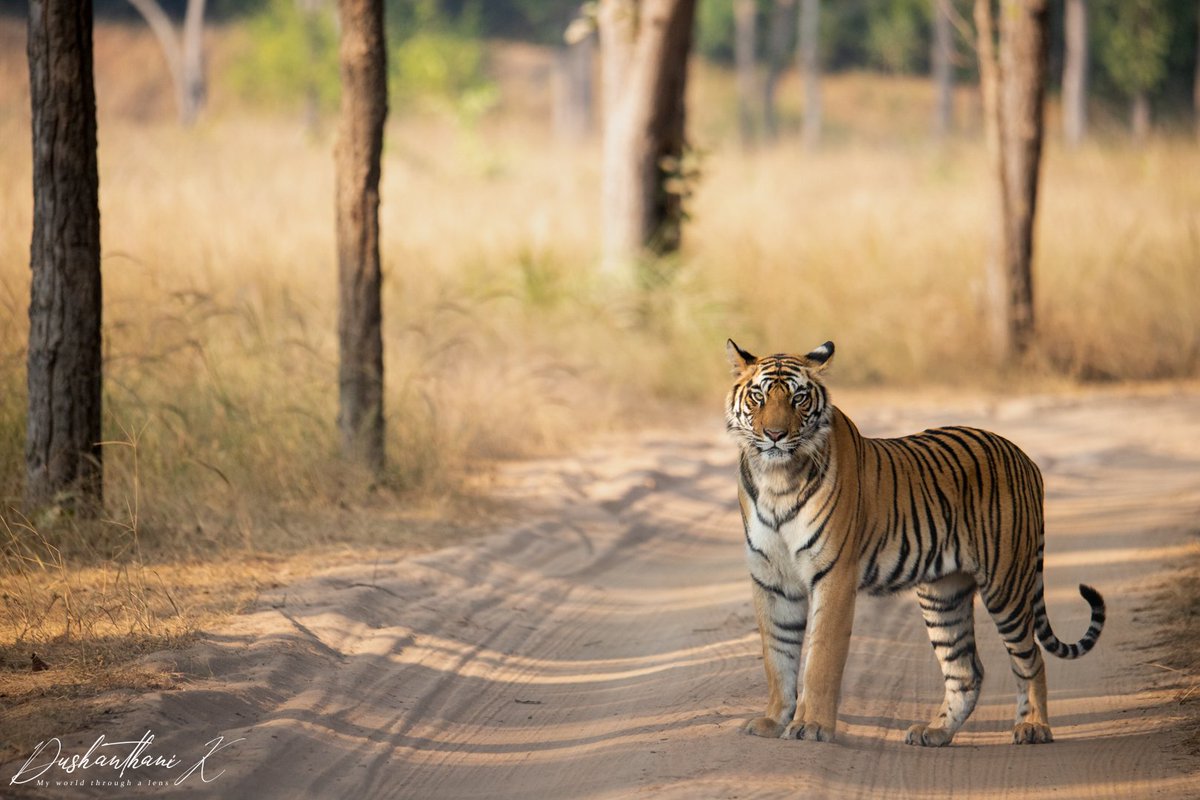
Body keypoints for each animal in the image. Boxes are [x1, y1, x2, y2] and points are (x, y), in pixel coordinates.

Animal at [724, 339, 1105, 746]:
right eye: (759, 397)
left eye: (798, 398)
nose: (775, 435)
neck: (776, 479)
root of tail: (1024, 457)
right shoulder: (772, 579)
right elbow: (777, 655)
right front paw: (773, 721)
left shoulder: (834, 575)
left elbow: (820, 658)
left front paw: (811, 726)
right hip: (944, 594)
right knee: (967, 670)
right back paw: (935, 732)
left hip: (1006, 583)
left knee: (1030, 658)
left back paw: (1033, 727)